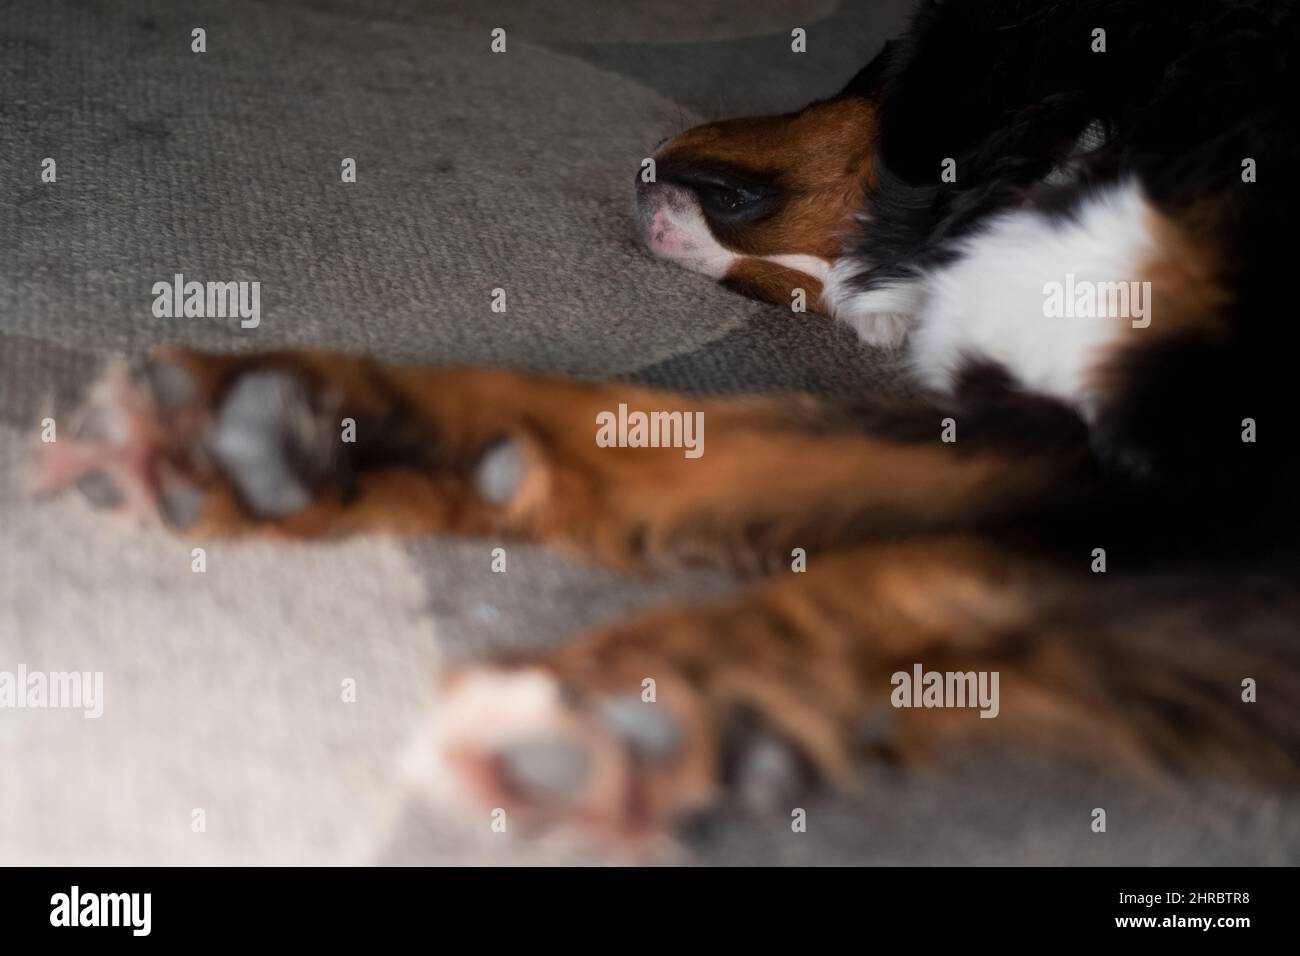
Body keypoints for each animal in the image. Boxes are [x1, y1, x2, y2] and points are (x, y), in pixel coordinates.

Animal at [35, 0, 1300, 853]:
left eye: (871, 57)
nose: (642, 158)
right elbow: (718, 435)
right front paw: (335, 432)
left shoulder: (1223, 491)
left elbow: (931, 567)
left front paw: (633, 709)